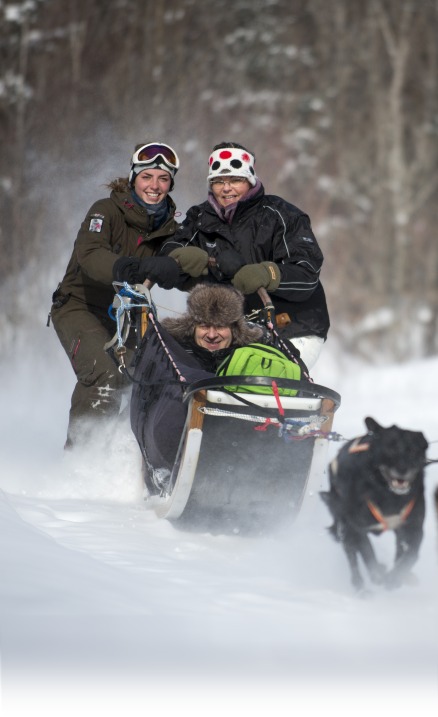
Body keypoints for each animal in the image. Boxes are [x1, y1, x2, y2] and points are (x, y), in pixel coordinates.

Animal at [322, 416, 428, 592]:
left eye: (413, 450)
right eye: (390, 449)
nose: (403, 469)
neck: (390, 497)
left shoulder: (412, 527)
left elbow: (411, 555)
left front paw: (395, 577)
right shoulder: (357, 527)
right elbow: (367, 552)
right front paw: (377, 574)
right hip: (345, 525)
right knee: (352, 555)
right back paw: (360, 586)